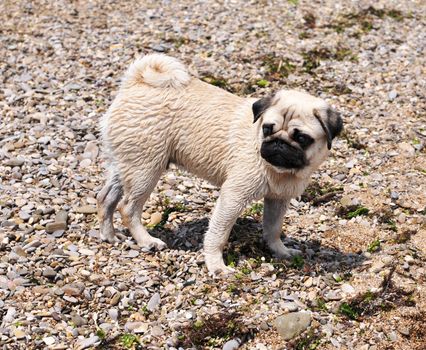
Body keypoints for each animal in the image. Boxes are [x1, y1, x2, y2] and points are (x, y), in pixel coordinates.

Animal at [97, 54, 342, 274]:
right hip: (145, 170)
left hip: (127, 164)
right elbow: (218, 234)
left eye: (302, 138)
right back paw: (147, 240)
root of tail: (135, 83)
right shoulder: (233, 197)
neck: (280, 171)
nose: (279, 144)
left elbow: (273, 228)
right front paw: (216, 265)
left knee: (106, 199)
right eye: (267, 129)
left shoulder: (278, 199)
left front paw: (280, 251)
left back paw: (109, 236)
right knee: (128, 208)